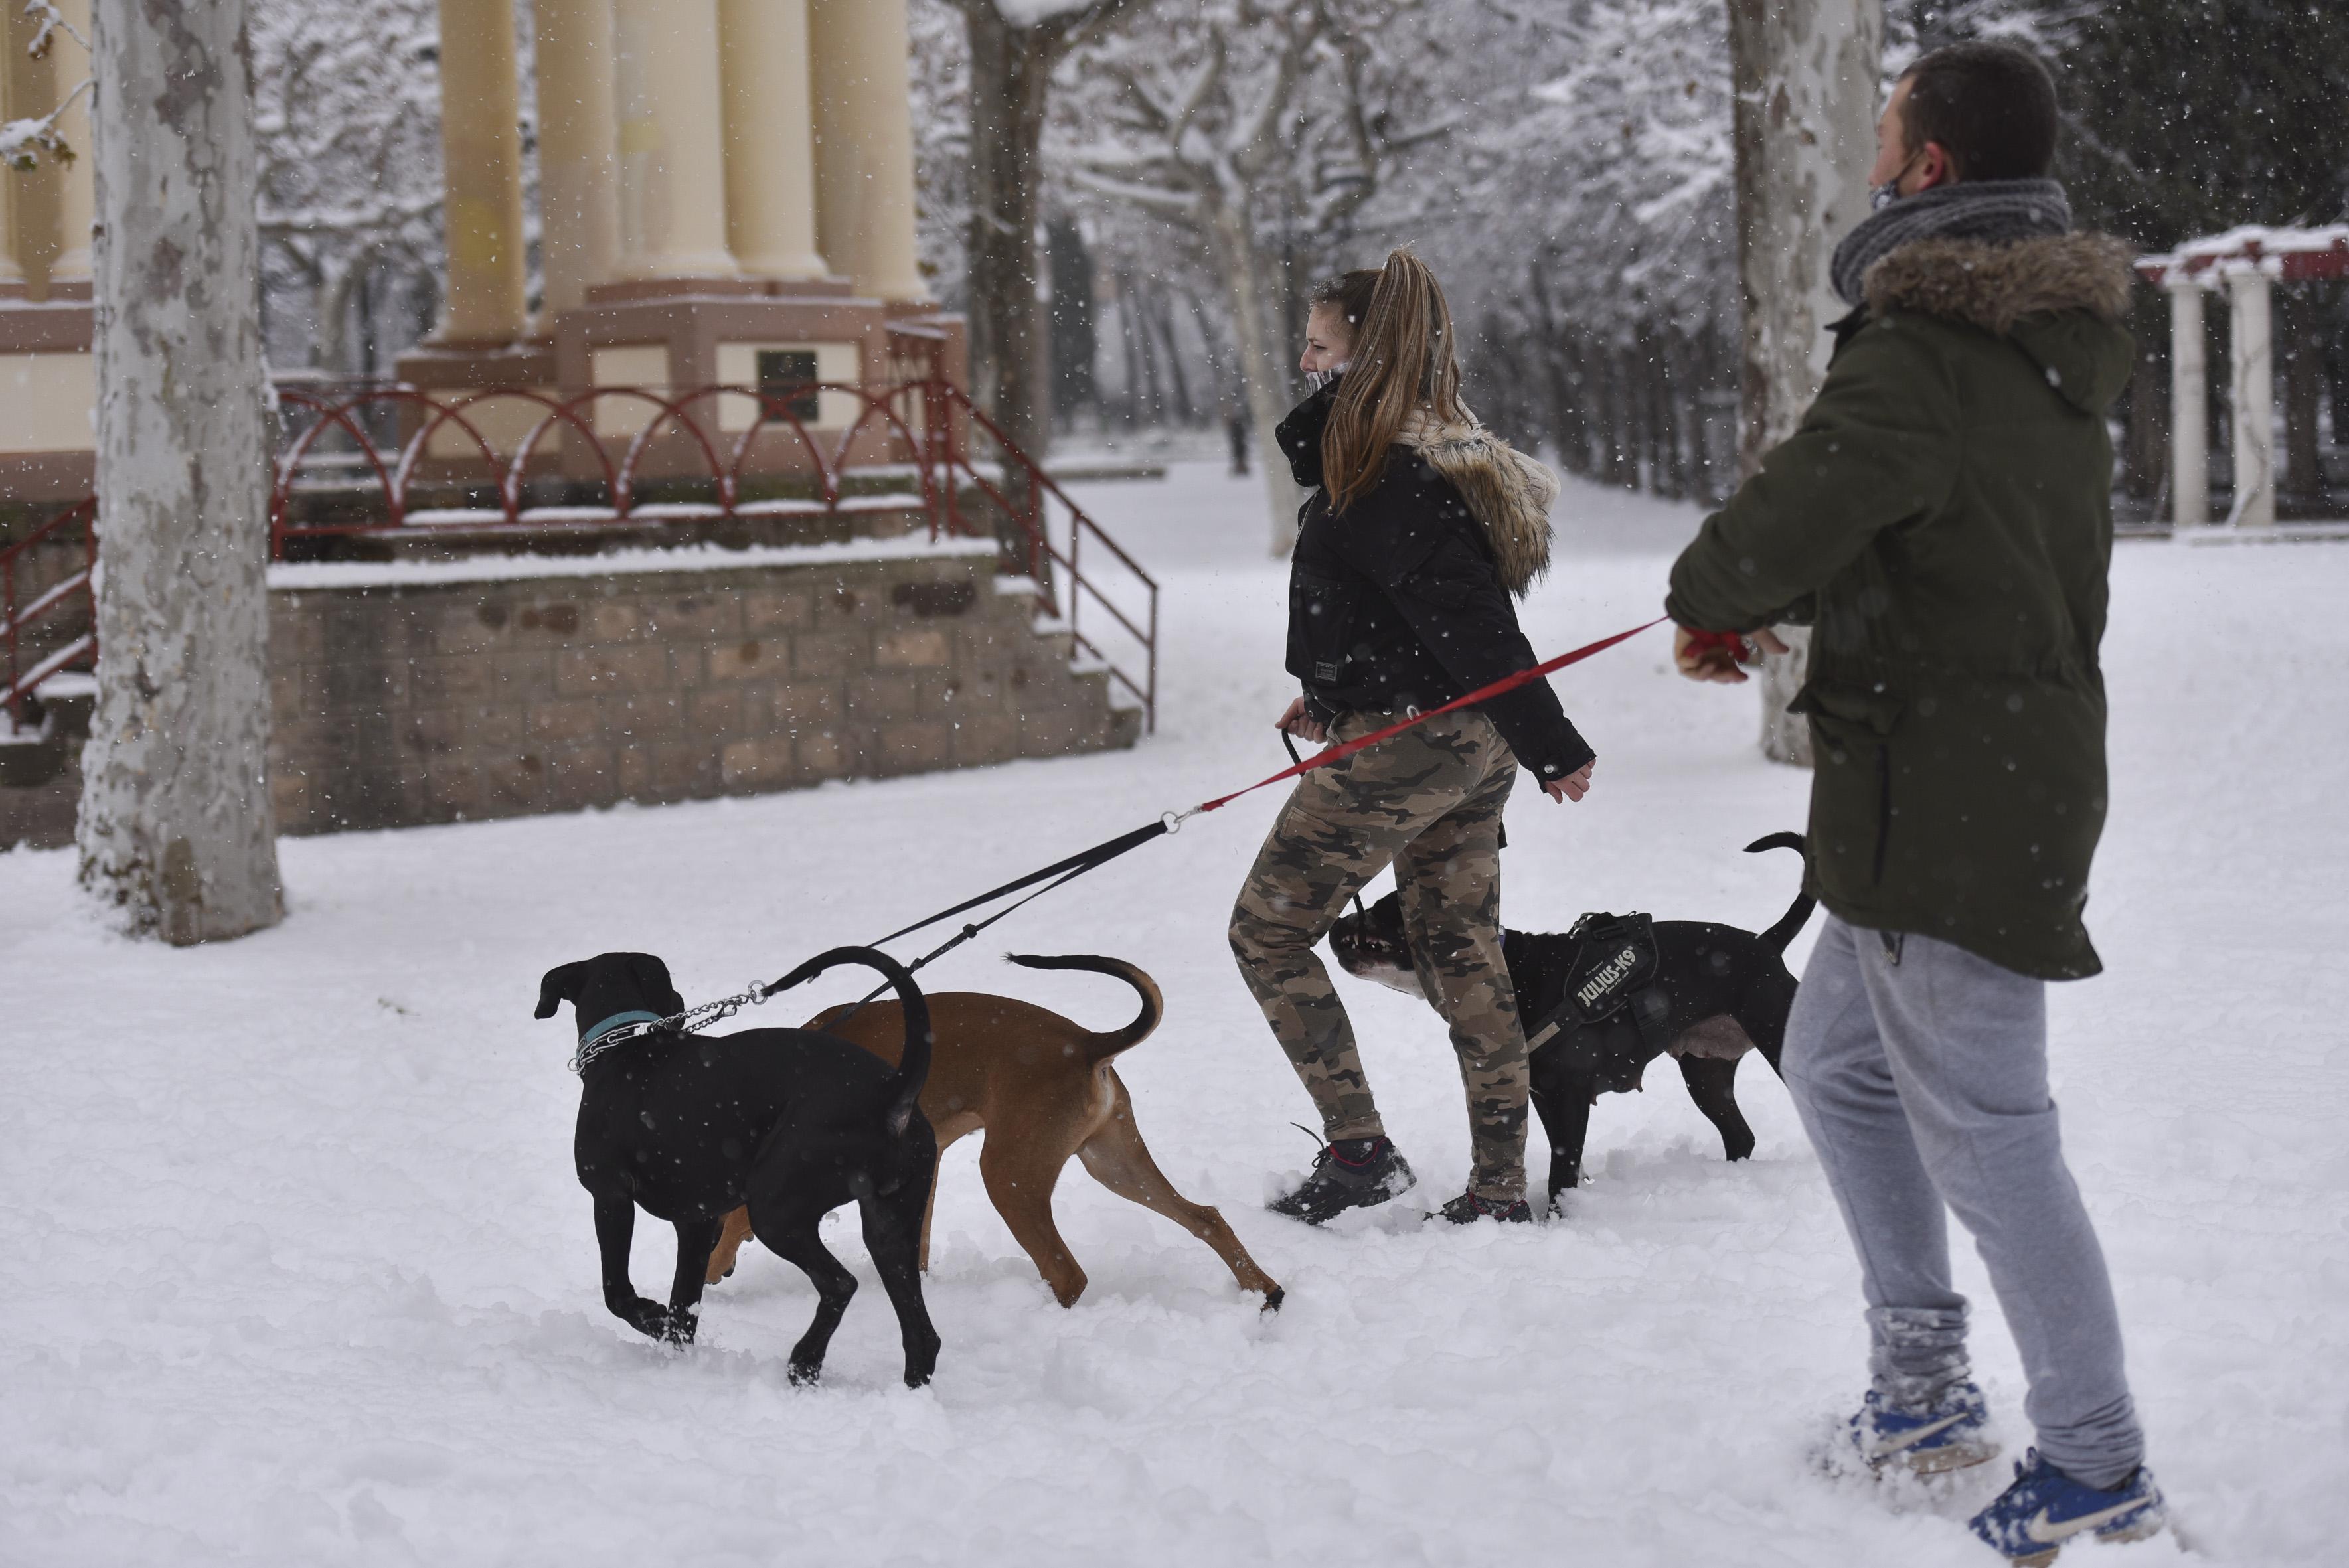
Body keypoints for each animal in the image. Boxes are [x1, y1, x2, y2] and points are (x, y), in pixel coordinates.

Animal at [540, 943, 944, 1380]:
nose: (679, 1003)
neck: (622, 1047)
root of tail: (891, 1094)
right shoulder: (697, 1222)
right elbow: (685, 1307)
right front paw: (675, 1349)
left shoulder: (609, 1195)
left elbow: (617, 1292)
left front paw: (652, 1317)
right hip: (890, 1228)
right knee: (922, 1334)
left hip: (775, 1211)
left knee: (841, 1284)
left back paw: (805, 1361)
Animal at [704, 957, 1287, 1314]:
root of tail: (1088, 1044)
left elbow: (734, 1221)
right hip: (1114, 1163)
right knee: (1206, 1218)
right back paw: (1264, 1293)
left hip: (1009, 1175)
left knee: (1066, 1272)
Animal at [1334, 840, 1804, 1211]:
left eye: (1381, 909)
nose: (1338, 921)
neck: (1508, 975)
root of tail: (1765, 943)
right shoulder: (1541, 1094)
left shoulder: (1569, 1095)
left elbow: (1561, 1171)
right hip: (1706, 1074)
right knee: (1741, 1137)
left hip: (1776, 1040)